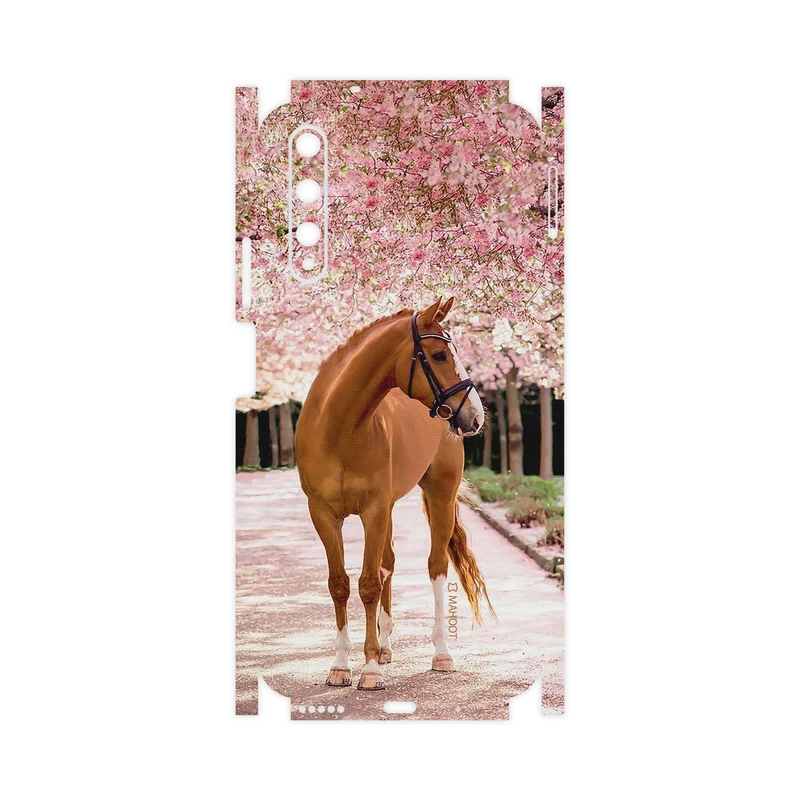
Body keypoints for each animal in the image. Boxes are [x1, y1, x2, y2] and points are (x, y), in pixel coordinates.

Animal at [295, 297, 494, 690]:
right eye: (438, 355)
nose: (476, 416)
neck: (338, 428)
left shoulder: (373, 510)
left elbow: (369, 583)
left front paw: (369, 669)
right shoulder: (323, 513)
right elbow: (340, 584)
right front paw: (341, 666)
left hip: (439, 494)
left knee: (435, 566)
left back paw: (440, 653)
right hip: (388, 508)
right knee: (388, 563)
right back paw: (385, 646)